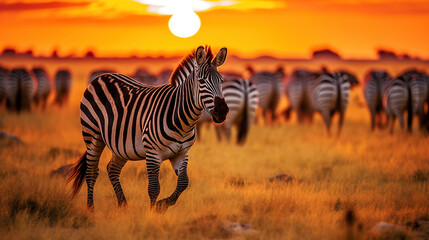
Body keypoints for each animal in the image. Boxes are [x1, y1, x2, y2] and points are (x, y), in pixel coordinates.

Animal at [67, 45, 227, 212]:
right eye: (202, 81)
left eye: (221, 81)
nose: (222, 111)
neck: (182, 121)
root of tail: (101, 76)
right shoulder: (152, 153)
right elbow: (154, 187)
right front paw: (153, 213)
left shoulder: (182, 153)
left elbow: (183, 182)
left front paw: (163, 204)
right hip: (92, 135)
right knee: (91, 171)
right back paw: (91, 209)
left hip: (121, 145)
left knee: (112, 169)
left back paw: (123, 205)